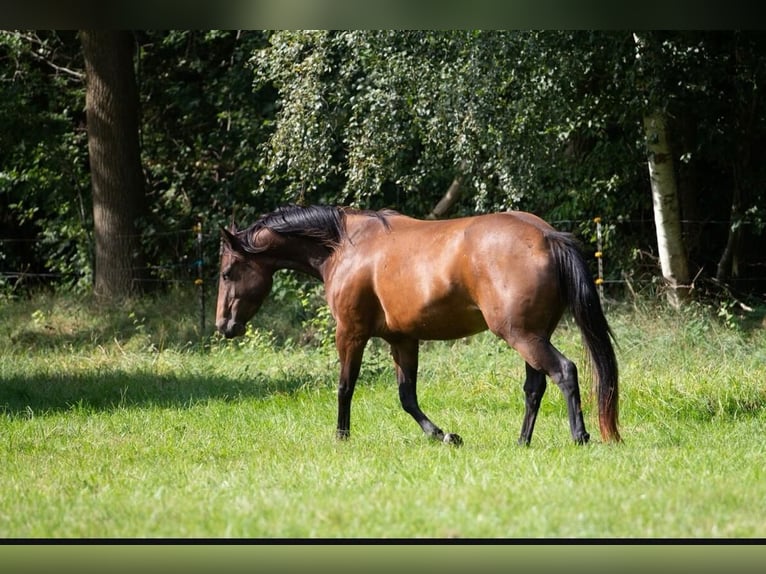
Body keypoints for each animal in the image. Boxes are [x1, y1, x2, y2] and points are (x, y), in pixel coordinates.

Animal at [213, 205, 620, 448]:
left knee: (564, 371)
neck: (344, 246)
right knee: (534, 387)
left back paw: (580, 435)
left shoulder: (350, 333)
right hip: (532, 336)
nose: (223, 326)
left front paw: (341, 437)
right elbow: (407, 397)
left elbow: (345, 387)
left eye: (227, 272)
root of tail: (547, 236)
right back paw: (522, 442)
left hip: (523, 336)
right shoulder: (403, 340)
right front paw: (444, 436)